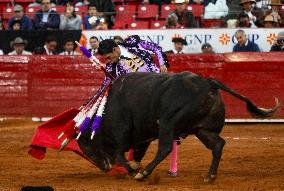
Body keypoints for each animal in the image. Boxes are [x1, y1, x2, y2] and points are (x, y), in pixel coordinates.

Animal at [76, 71, 278, 182]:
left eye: (87, 147)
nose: (105, 168)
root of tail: (208, 82)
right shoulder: (142, 134)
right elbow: (134, 150)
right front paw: (133, 167)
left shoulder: (122, 131)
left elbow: (120, 153)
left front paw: (134, 171)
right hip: (203, 130)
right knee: (218, 144)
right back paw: (210, 176)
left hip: (168, 123)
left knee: (165, 148)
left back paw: (144, 173)